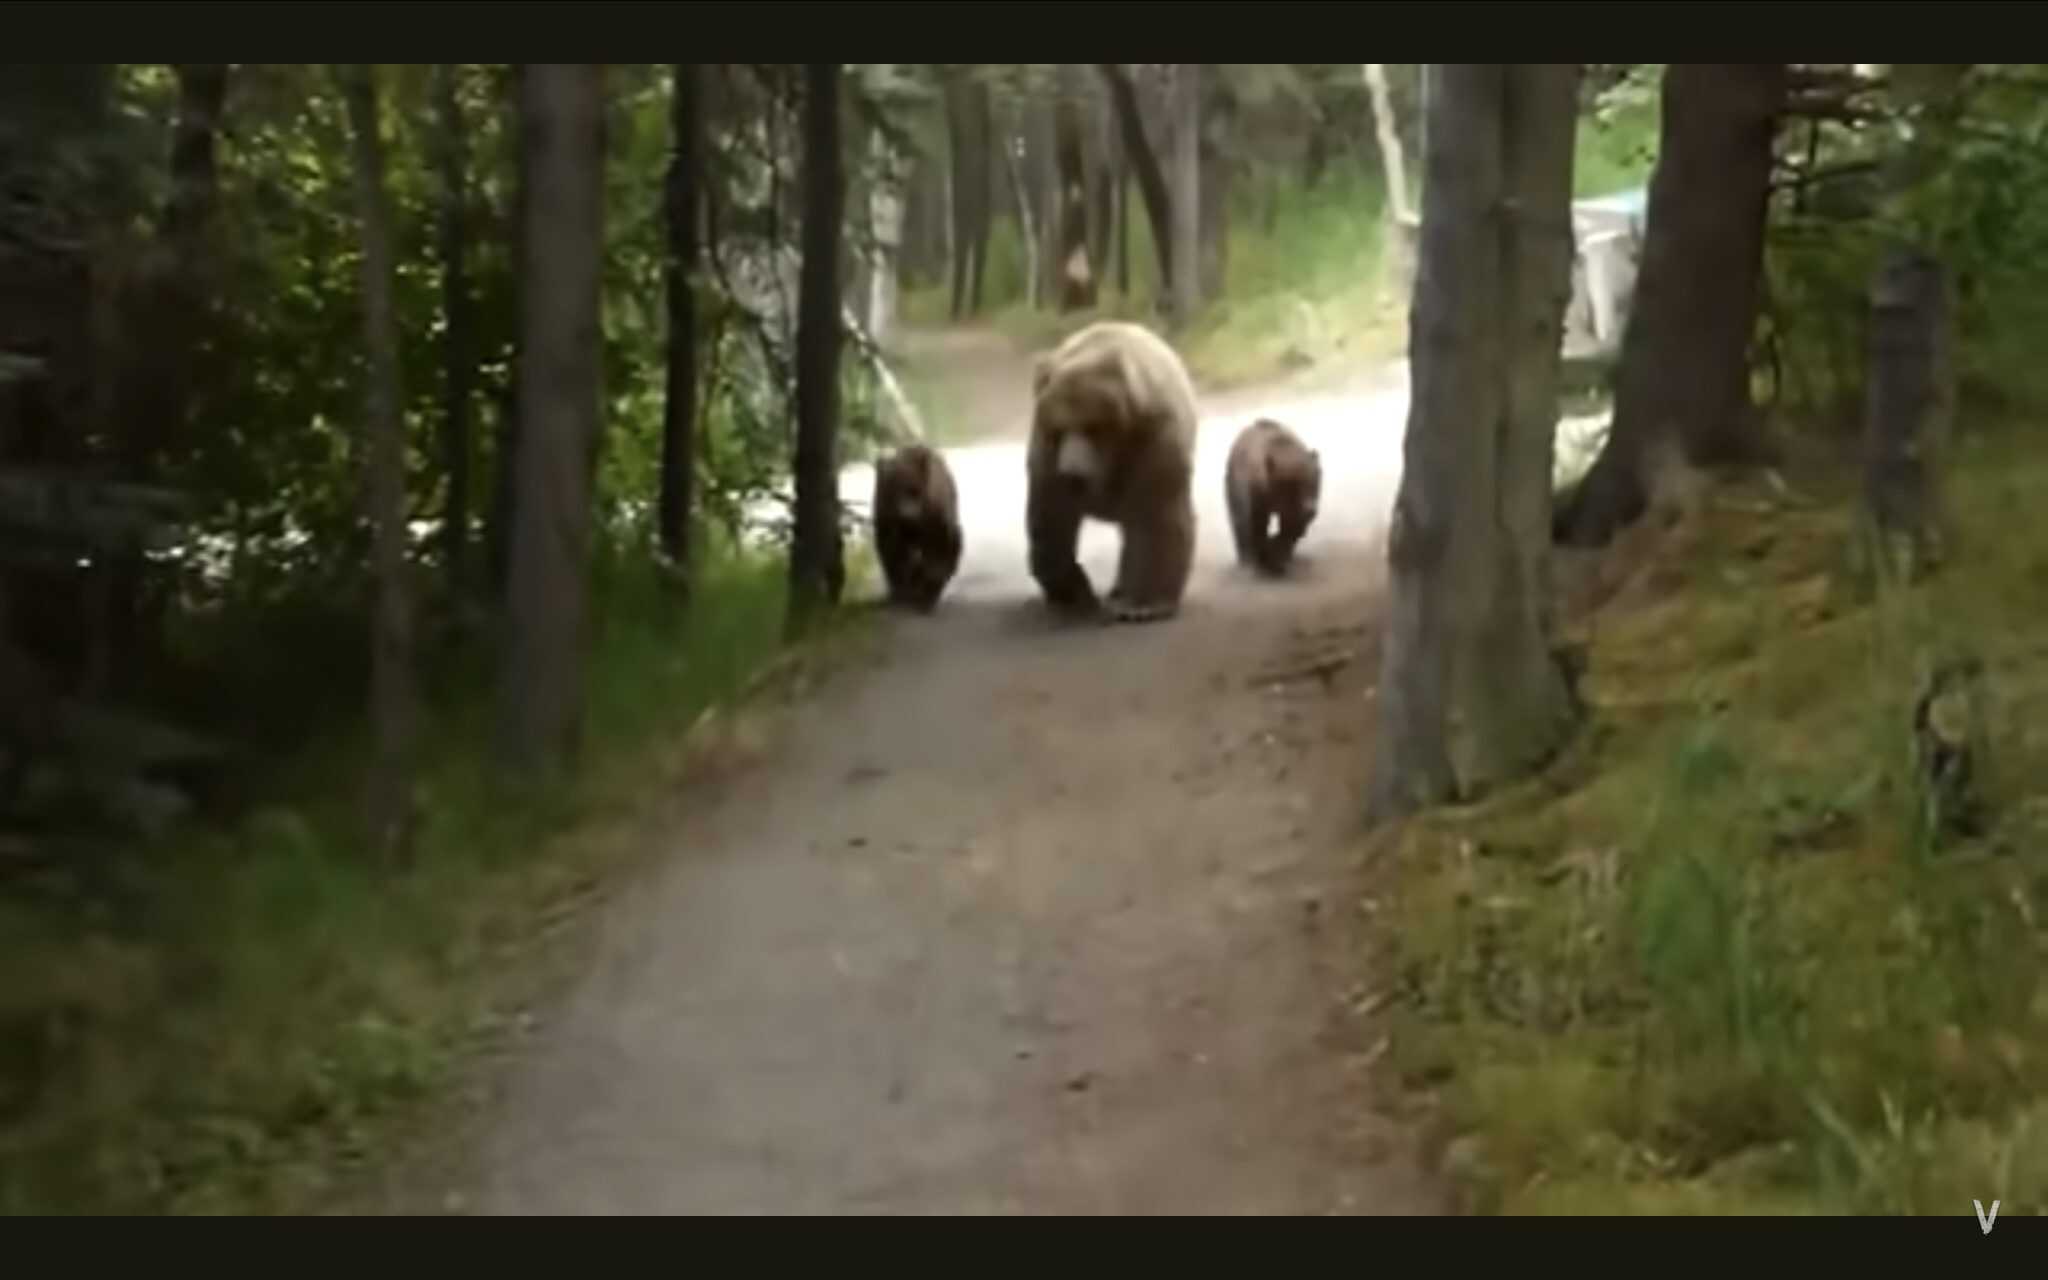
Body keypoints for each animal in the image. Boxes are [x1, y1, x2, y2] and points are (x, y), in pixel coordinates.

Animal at [871, 442, 963, 612]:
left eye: (914, 490)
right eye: (893, 491)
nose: (907, 515)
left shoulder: (934, 515)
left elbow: (937, 551)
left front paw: (928, 595)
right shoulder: (887, 516)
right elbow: (891, 549)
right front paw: (900, 591)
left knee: (953, 544)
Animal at [1025, 320, 1200, 624]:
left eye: (1092, 427)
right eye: (1059, 429)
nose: (1073, 473)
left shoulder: (1154, 439)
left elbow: (1156, 517)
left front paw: (1142, 605)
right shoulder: (1048, 457)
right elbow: (1052, 518)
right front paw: (1074, 593)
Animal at [1225, 417, 1321, 576]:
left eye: (1313, 482)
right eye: (1293, 486)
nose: (1311, 510)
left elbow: (1292, 525)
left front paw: (1278, 554)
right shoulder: (1256, 492)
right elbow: (1255, 522)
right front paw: (1265, 557)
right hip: (1232, 482)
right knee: (1240, 520)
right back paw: (1247, 559)